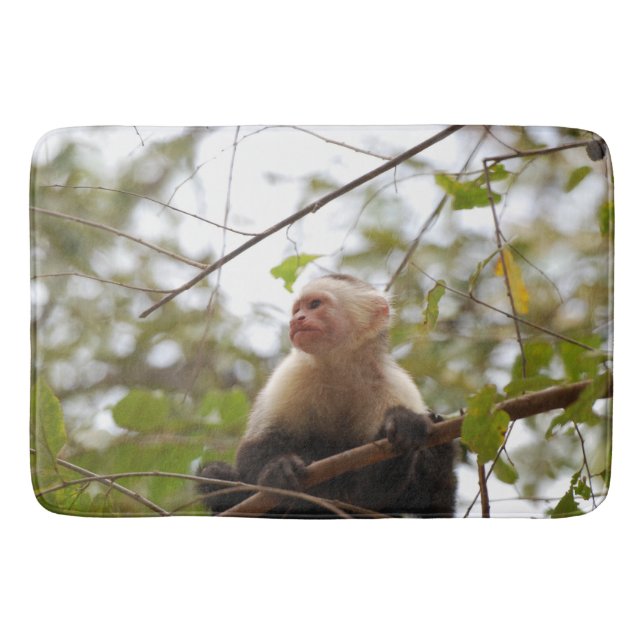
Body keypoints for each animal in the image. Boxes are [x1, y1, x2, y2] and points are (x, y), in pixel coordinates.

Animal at [197, 274, 456, 517]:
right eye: (297, 309)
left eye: (314, 304)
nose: (296, 320)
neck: (340, 369)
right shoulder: (291, 374)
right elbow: (254, 449)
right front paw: (278, 469)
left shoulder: (397, 387)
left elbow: (372, 496)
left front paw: (404, 424)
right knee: (215, 474)